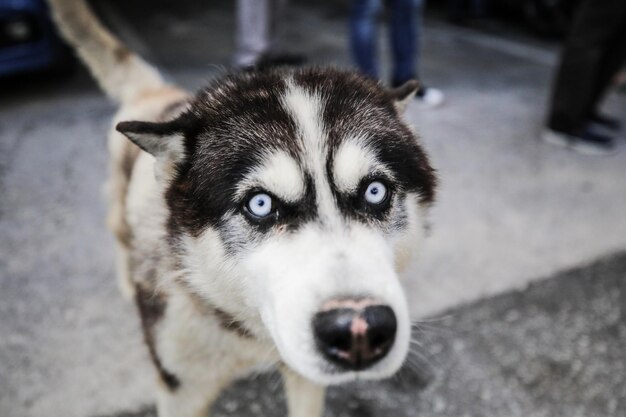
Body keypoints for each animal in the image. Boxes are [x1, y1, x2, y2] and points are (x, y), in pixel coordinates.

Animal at [47, 0, 434, 416]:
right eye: (260, 204)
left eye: (375, 192)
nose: (359, 331)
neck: (247, 331)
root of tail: (161, 93)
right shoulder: (179, 387)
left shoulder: (304, 377)